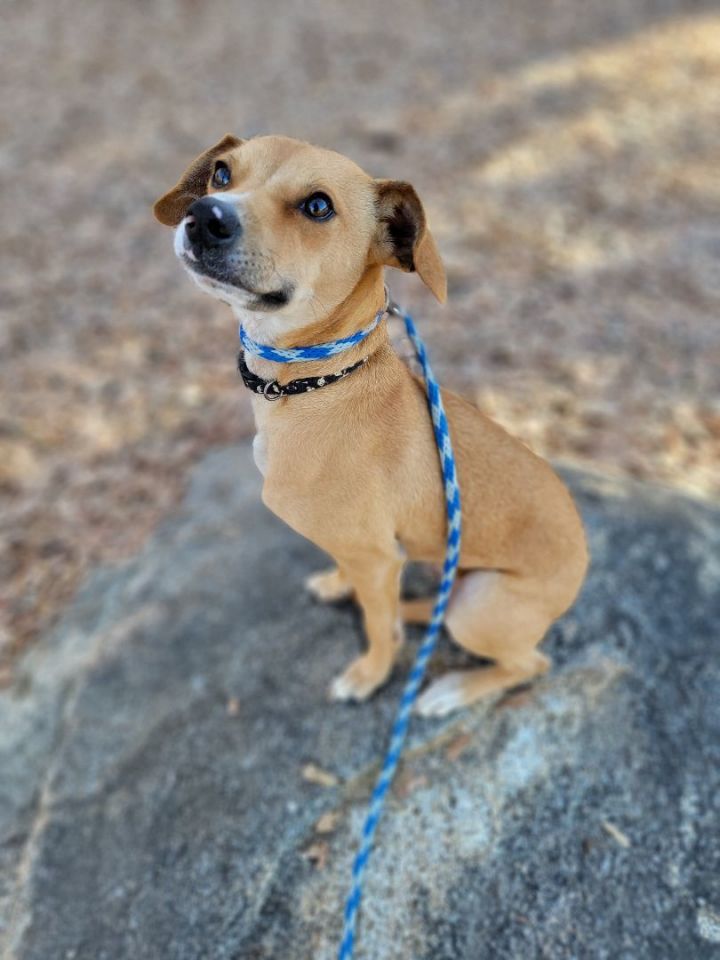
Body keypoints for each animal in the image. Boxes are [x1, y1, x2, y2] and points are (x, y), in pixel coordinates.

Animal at [155, 137, 588, 720]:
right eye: (221, 173)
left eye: (318, 206)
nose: (205, 216)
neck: (316, 384)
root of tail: (584, 556)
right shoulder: (363, 549)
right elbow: (354, 579)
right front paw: (339, 587)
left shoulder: (377, 557)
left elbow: (377, 627)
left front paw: (369, 676)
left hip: (481, 607)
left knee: (529, 662)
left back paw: (451, 689)